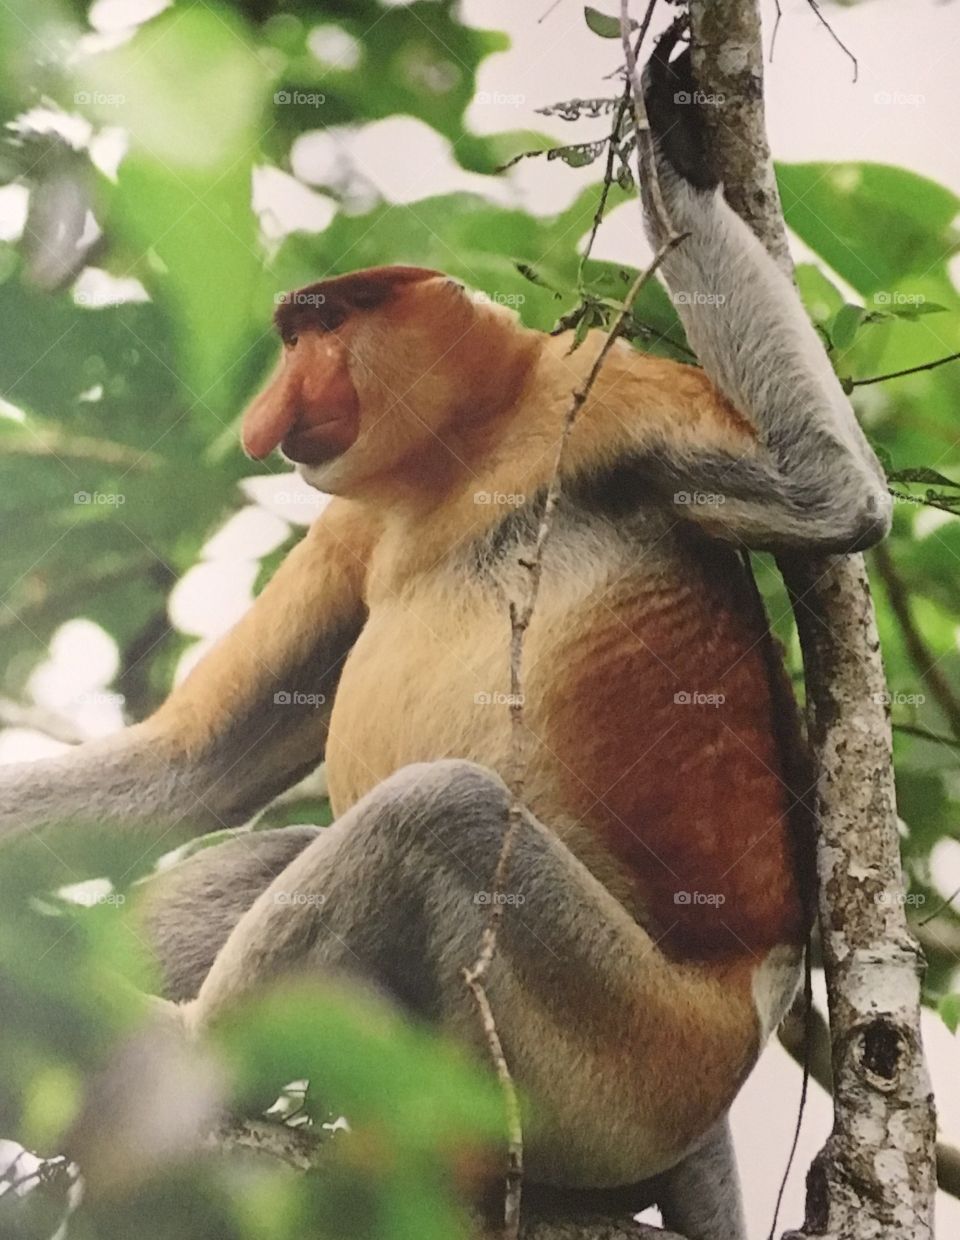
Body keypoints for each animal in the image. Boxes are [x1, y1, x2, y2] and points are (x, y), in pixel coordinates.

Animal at [0, 30, 890, 1240]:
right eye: (293, 334)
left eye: (325, 326)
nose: (267, 415)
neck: (467, 449)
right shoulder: (350, 523)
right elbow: (193, 768)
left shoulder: (613, 397)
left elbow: (830, 496)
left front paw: (675, 152)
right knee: (284, 855)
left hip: (636, 1061)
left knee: (441, 814)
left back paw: (185, 1056)